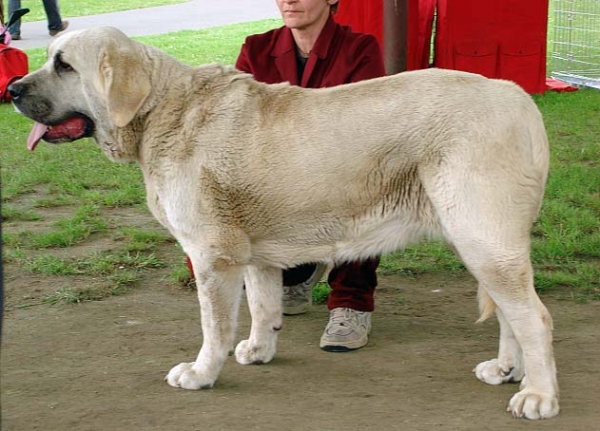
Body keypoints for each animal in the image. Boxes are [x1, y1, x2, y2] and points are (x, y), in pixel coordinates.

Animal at [9, 26, 560, 418]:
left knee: (534, 317)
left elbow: (214, 325)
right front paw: (258, 349)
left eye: (63, 65)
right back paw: (507, 369)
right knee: (511, 314)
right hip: (484, 245)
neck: (159, 110)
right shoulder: (251, 252)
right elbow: (262, 305)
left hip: (483, 239)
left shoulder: (212, 255)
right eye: (48, 58)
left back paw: (537, 395)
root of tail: (520, 100)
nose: (12, 88)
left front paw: (203, 372)